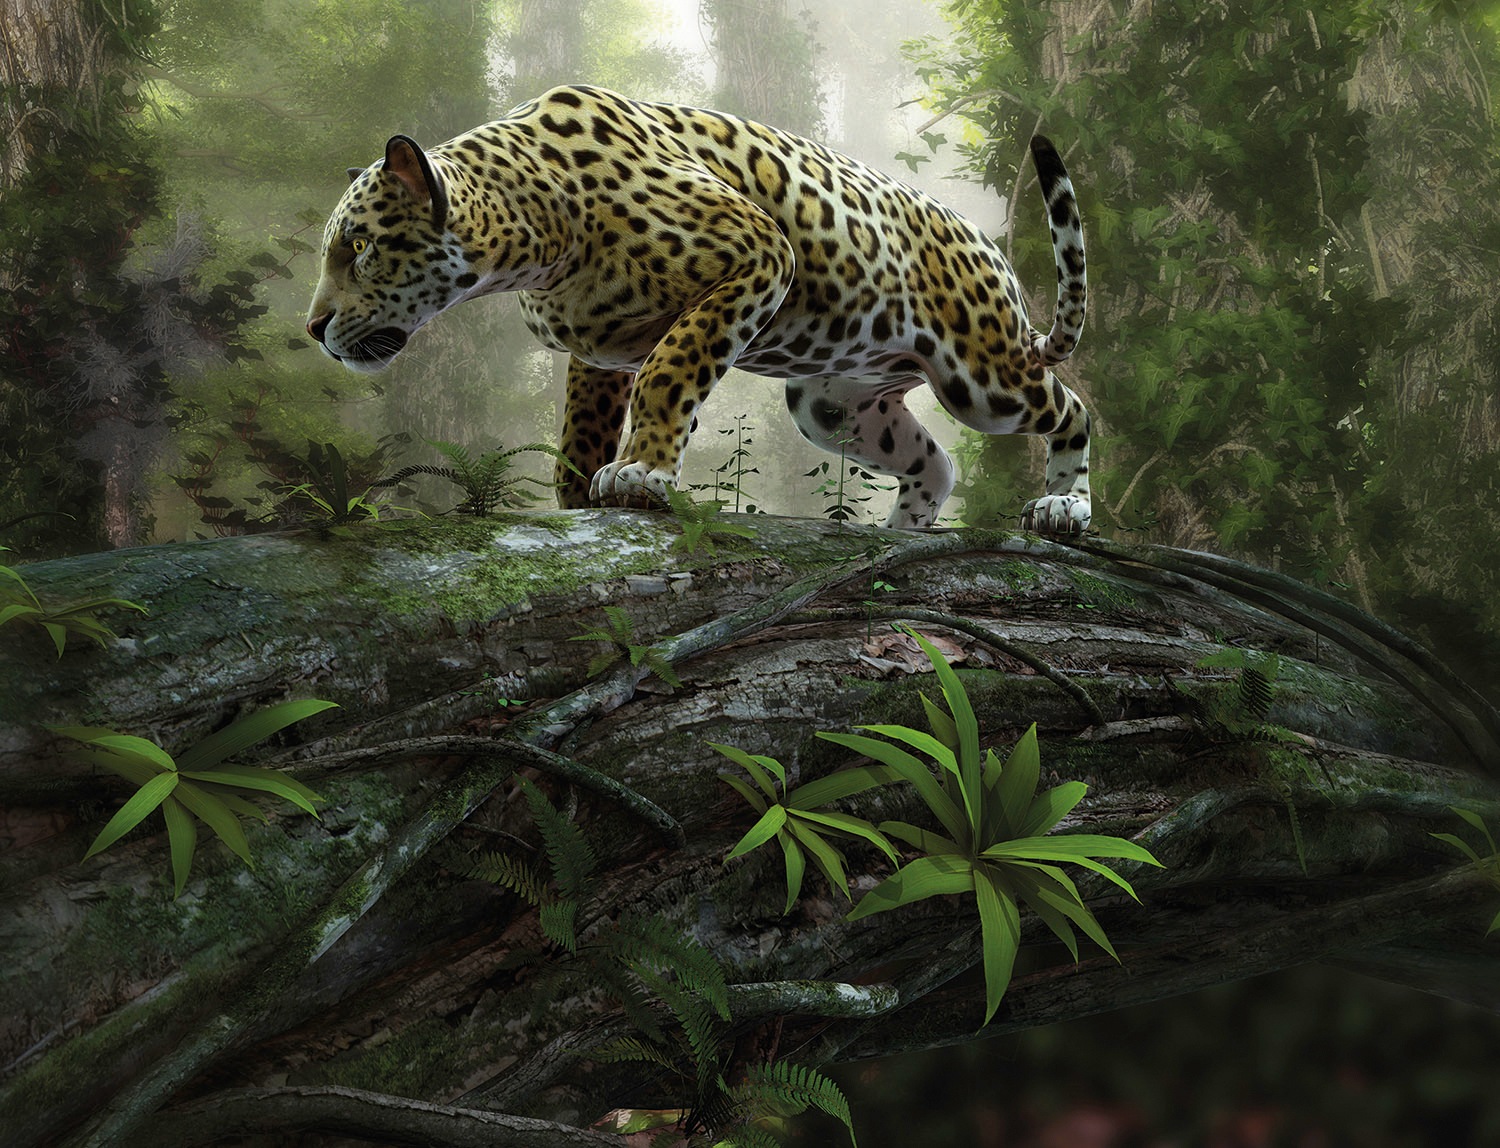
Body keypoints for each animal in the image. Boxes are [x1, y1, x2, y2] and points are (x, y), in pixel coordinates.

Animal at [307, 84, 1090, 533]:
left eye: (360, 246)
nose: (313, 329)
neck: (535, 232)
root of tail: (989, 248)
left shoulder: (757, 254)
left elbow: (671, 371)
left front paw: (641, 475)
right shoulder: (601, 346)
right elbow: (581, 430)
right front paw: (581, 499)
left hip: (983, 378)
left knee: (1073, 409)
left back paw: (1064, 506)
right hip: (832, 406)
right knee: (937, 462)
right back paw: (899, 532)